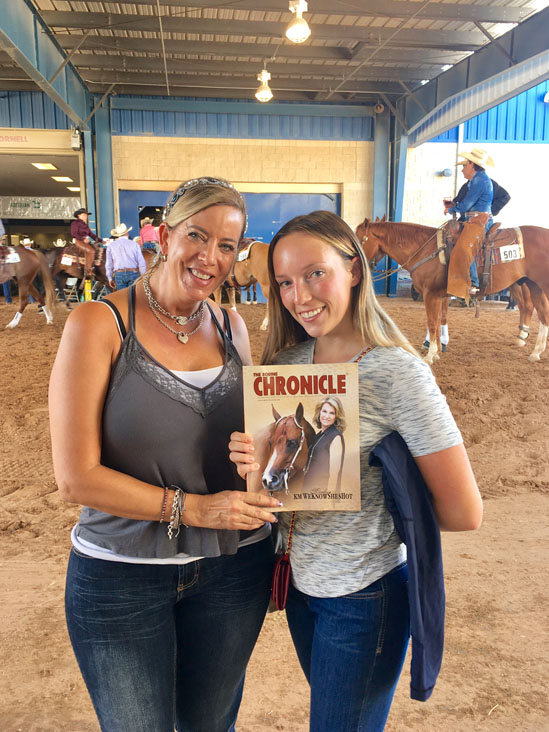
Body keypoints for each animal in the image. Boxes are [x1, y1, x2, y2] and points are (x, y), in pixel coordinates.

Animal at [356, 219, 548, 364]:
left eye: (359, 239)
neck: (425, 249)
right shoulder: (441, 296)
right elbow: (440, 320)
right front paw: (437, 351)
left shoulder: (431, 295)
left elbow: (432, 322)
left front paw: (429, 356)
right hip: (531, 284)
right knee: (540, 313)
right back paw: (534, 351)